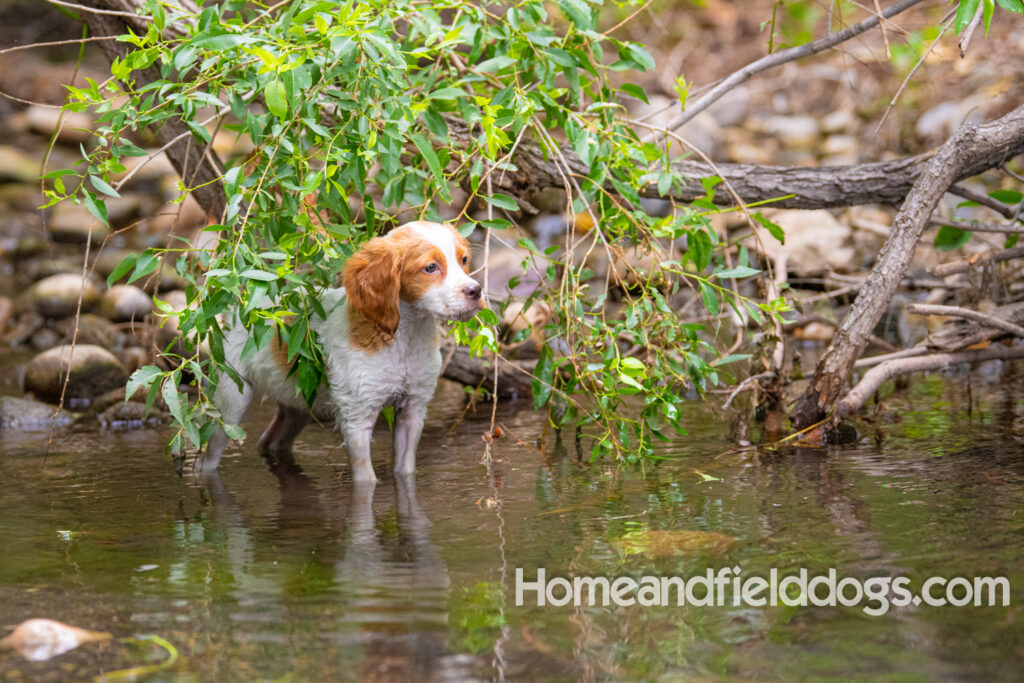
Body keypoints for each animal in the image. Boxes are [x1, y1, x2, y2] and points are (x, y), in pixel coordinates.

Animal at [205, 223, 485, 481]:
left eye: (464, 260)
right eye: (430, 267)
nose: (476, 291)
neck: (404, 337)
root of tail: (245, 306)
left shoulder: (413, 410)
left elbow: (405, 471)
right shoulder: (357, 418)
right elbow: (366, 481)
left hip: (301, 404)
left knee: (270, 440)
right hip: (231, 403)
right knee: (208, 457)